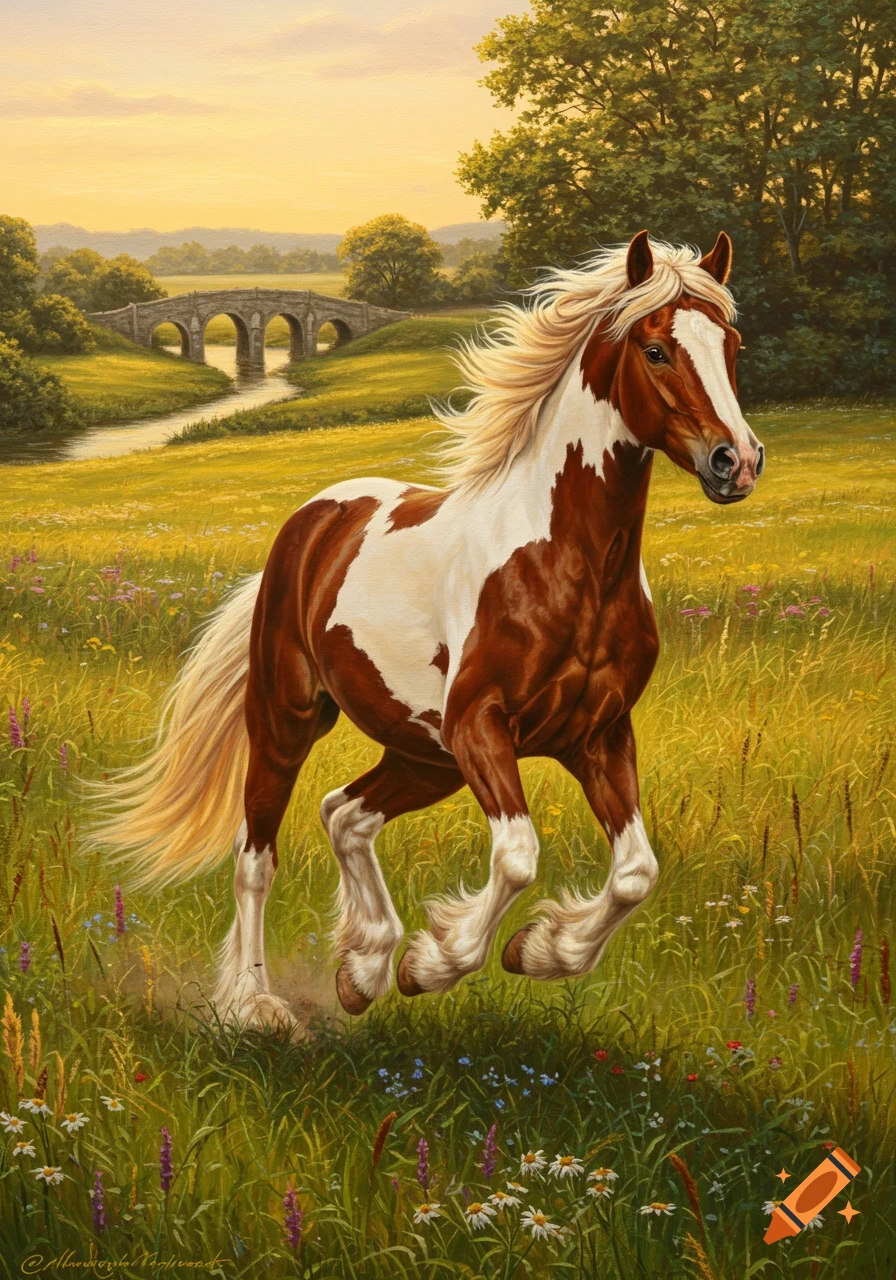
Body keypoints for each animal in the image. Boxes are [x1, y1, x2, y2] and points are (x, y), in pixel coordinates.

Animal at [93, 231, 764, 1030]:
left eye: (731, 344)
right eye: (656, 349)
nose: (737, 462)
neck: (568, 565)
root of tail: (316, 517)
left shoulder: (599, 735)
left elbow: (636, 872)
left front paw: (536, 952)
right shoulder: (481, 726)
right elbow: (518, 856)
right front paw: (435, 962)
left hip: (425, 752)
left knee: (345, 813)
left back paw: (362, 968)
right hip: (291, 720)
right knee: (256, 853)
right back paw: (256, 1003)